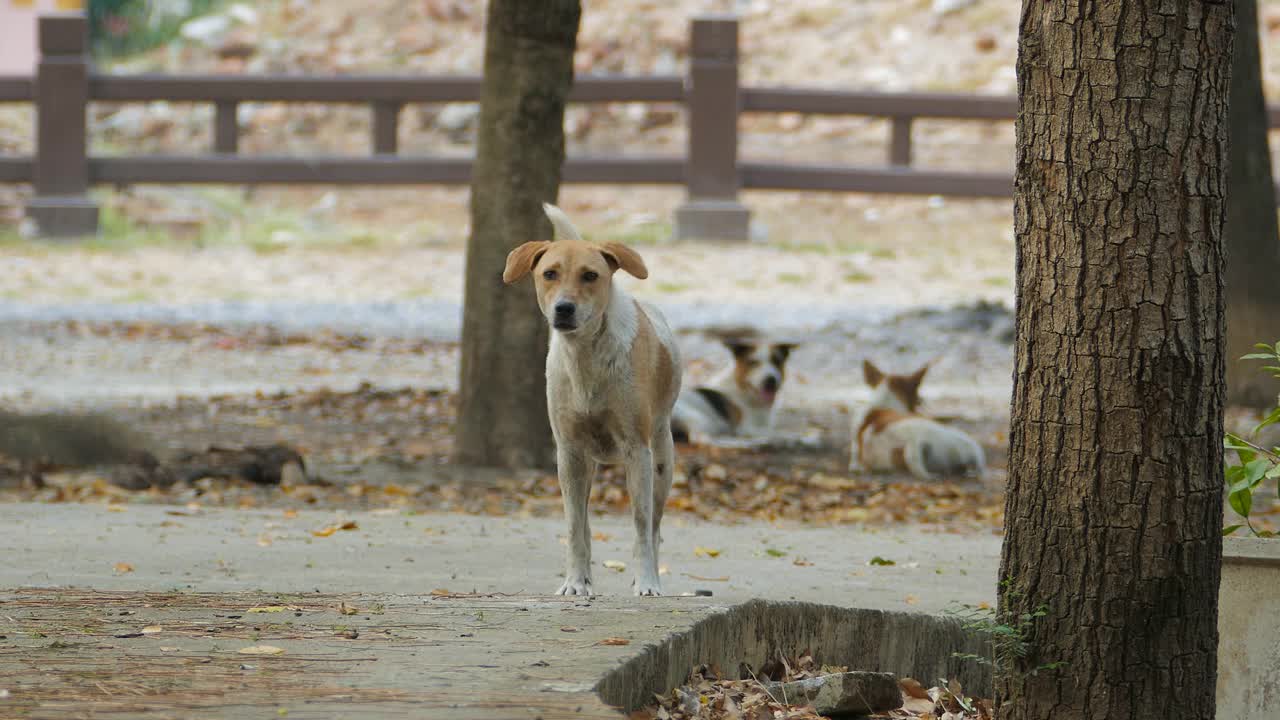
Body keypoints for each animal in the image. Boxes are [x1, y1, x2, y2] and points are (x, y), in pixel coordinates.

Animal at [501, 202, 686, 594]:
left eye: (590, 275)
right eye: (549, 273)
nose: (564, 308)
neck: (587, 357)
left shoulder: (637, 451)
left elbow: (641, 525)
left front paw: (646, 582)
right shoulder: (569, 451)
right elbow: (574, 526)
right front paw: (575, 583)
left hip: (662, 459)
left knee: (655, 526)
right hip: (583, 466)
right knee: (584, 521)